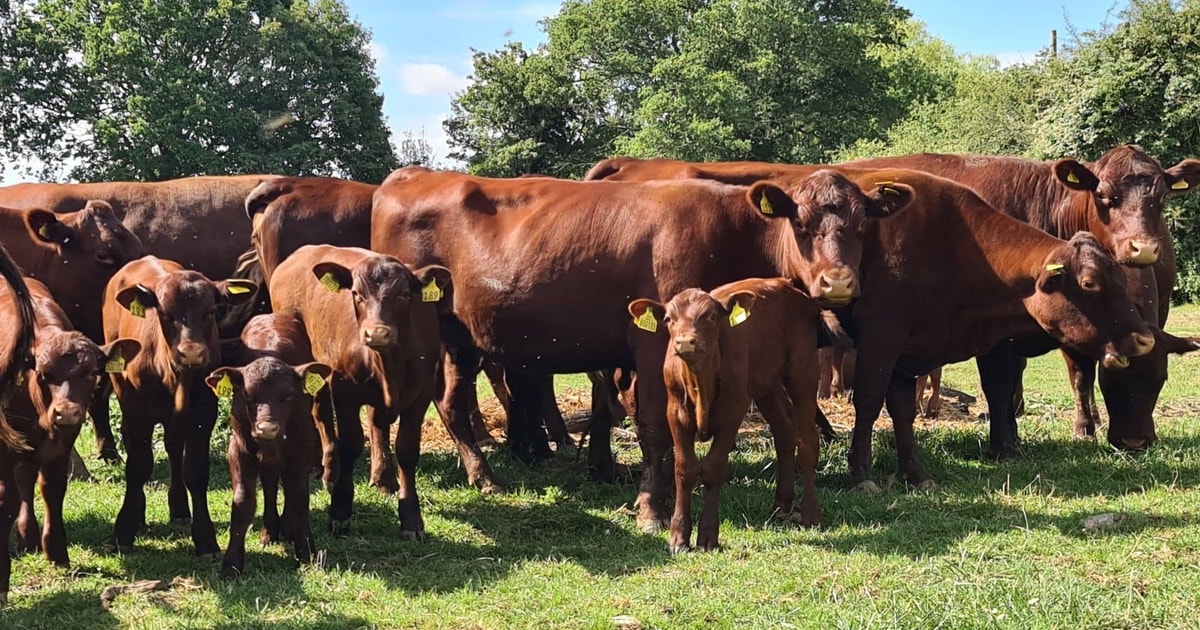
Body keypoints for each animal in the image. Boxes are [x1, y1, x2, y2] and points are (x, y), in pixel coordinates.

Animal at [0, 278, 140, 602]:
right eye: (43, 373)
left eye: (92, 373)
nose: (67, 412)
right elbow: (7, 499)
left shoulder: (60, 444)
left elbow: (52, 490)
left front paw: (56, 552)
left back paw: (28, 536)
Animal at [103, 256, 257, 556]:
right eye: (165, 313)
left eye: (210, 311)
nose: (192, 353)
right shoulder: (137, 412)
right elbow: (138, 467)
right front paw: (124, 529)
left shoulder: (203, 414)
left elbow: (195, 471)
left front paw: (205, 539)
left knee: (174, 449)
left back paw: (179, 508)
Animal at [207, 314, 333, 578]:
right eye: (248, 395)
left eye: (288, 396)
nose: (267, 428)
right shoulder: (239, 448)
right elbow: (243, 501)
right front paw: (232, 564)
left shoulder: (301, 447)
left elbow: (298, 497)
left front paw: (306, 552)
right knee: (270, 484)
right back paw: (270, 531)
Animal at [269, 245, 449, 536]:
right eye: (356, 294)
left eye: (404, 294)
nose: (376, 333)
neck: (390, 364)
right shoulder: (344, 388)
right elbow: (351, 443)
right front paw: (340, 510)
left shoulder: (421, 393)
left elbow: (407, 450)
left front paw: (411, 517)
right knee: (322, 416)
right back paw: (330, 473)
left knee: (375, 423)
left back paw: (383, 480)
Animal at [629, 277, 823, 553]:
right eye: (668, 319)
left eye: (711, 316)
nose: (685, 341)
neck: (701, 382)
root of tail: (784, 283)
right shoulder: (675, 413)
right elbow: (684, 469)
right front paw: (678, 537)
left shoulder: (732, 410)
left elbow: (713, 467)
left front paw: (708, 536)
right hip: (765, 384)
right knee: (784, 433)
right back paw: (781, 506)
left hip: (802, 371)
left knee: (807, 442)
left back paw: (810, 514)